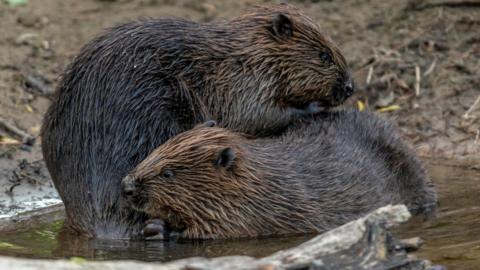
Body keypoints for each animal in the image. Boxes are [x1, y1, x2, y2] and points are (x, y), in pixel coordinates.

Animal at [41, 4, 354, 238]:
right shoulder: (240, 81)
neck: (246, 52)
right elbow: (255, 115)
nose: (350, 87)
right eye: (324, 55)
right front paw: (314, 107)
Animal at [122, 110, 436, 239]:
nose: (126, 186)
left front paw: (156, 228)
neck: (261, 178)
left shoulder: (255, 212)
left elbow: (214, 231)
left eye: (168, 173)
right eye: (156, 150)